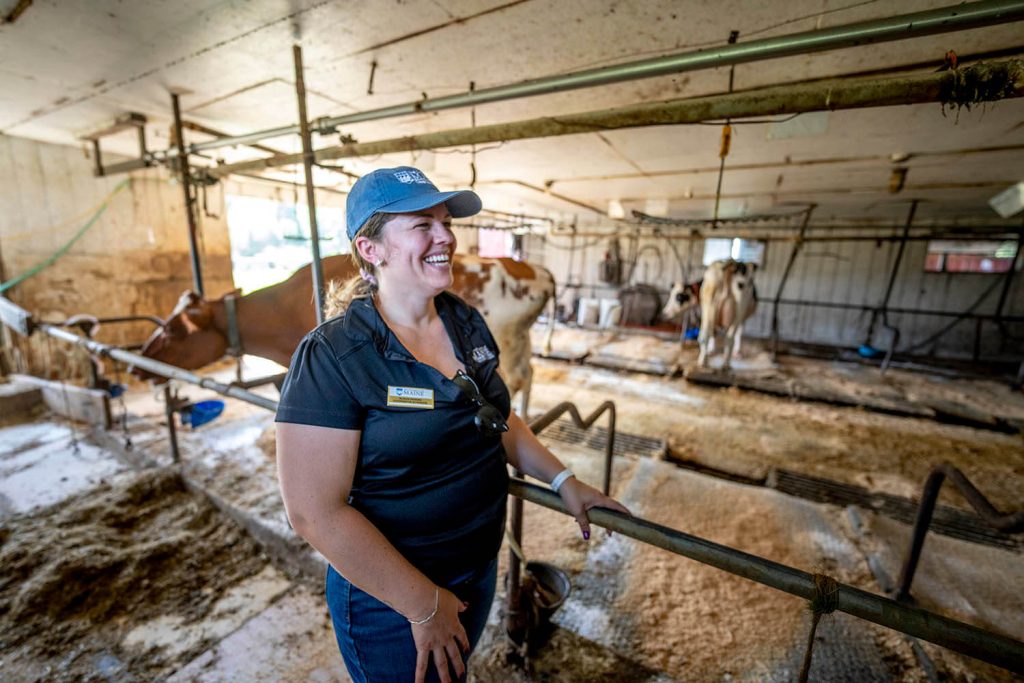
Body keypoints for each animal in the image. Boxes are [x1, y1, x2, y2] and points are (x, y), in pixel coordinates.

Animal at [138, 253, 552, 413]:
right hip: (520, 340)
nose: (136, 365)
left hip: (506, 338)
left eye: (172, 330)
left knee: (515, 380)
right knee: (529, 375)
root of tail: (535, 269)